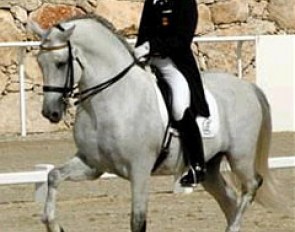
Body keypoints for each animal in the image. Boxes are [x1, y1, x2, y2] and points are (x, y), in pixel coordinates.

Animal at [31, 15, 288, 231]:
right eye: (40, 62)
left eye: (61, 63)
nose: (50, 112)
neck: (110, 100)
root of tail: (248, 87)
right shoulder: (92, 165)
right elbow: (53, 176)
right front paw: (54, 225)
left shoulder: (139, 170)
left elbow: (138, 221)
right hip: (210, 166)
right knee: (230, 200)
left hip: (240, 156)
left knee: (252, 185)